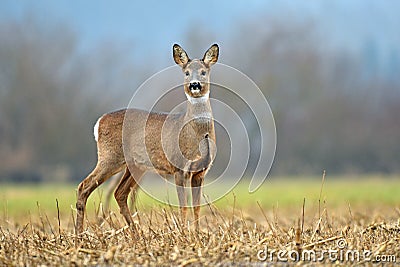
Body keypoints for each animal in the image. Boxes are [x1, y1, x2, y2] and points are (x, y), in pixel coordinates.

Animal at [75, 43, 219, 234]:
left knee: (120, 193)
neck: (195, 134)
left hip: (134, 166)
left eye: (203, 72)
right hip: (110, 157)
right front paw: (183, 233)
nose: (194, 85)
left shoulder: (200, 172)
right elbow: (183, 206)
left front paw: (196, 234)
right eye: (186, 72)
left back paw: (136, 234)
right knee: (84, 186)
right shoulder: (179, 168)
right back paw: (79, 234)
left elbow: (196, 207)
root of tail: (99, 122)